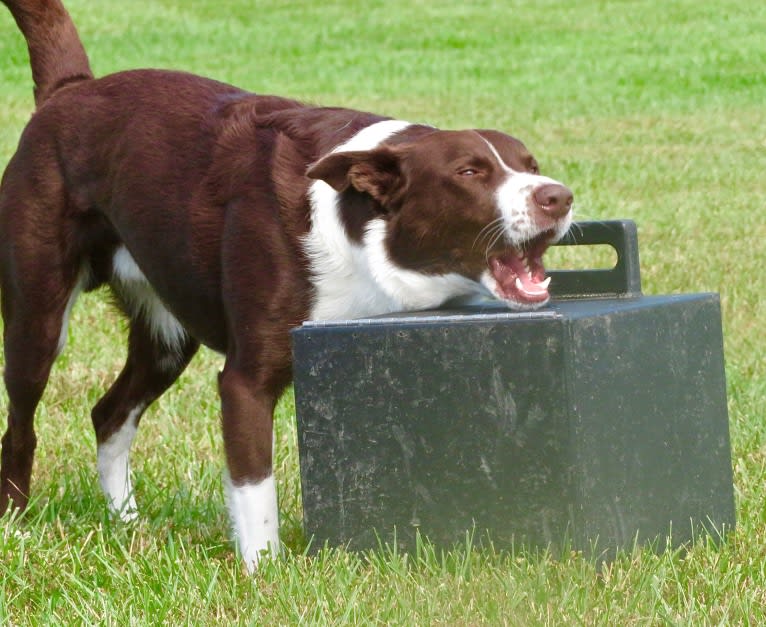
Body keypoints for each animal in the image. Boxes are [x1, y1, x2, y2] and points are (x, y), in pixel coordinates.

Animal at [0, 0, 572, 572]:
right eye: (469, 172)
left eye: (531, 166)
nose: (559, 197)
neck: (361, 228)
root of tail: (71, 89)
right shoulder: (246, 382)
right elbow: (256, 490)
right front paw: (263, 572)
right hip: (38, 316)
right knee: (22, 424)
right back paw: (16, 524)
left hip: (166, 338)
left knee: (110, 415)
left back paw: (127, 523)